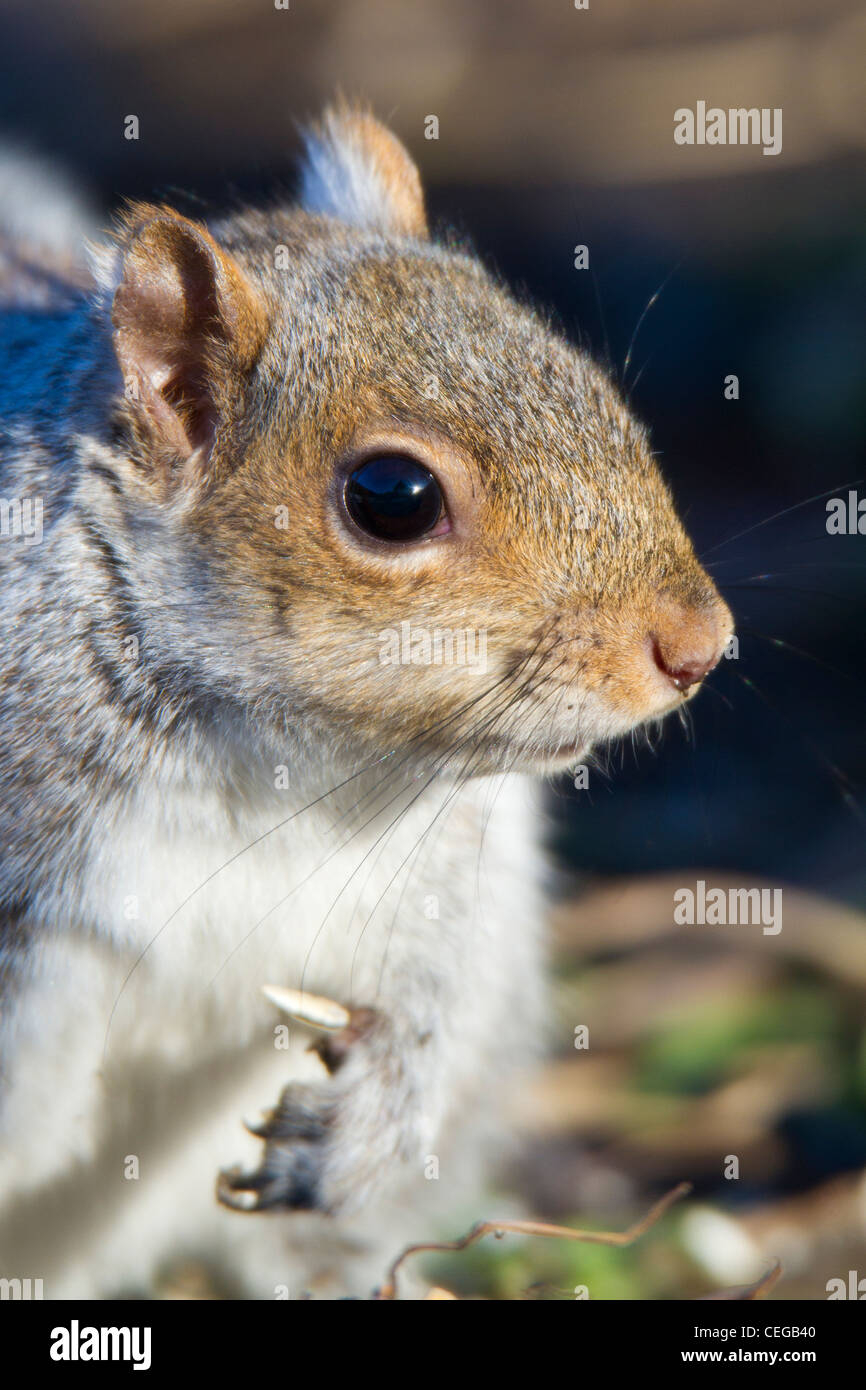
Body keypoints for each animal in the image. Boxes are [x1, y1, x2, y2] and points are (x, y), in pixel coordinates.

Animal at [0, 102, 733, 1295]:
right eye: (394, 496)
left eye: (586, 383)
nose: (698, 645)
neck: (274, 771)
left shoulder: (450, 872)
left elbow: (446, 991)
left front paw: (373, 1119)